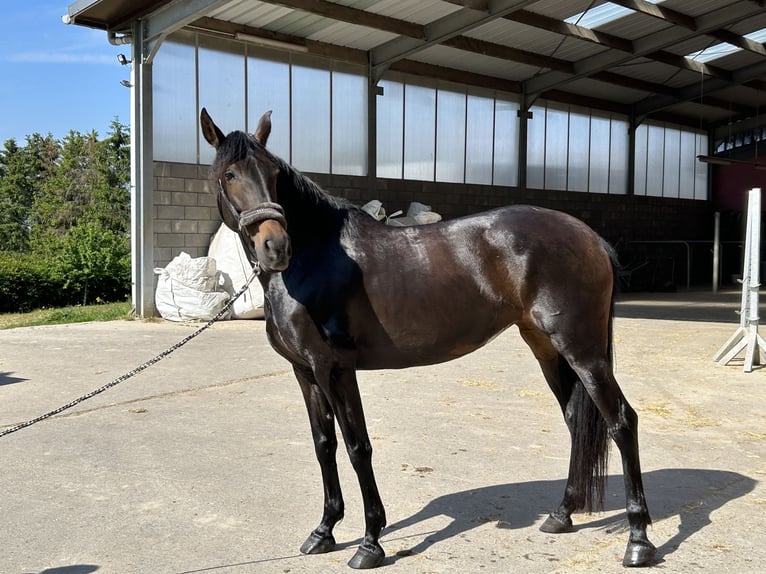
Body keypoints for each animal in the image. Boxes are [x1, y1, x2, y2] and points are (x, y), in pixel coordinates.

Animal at [201, 109, 656, 572]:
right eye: (229, 174)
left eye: (274, 173)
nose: (276, 246)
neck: (314, 259)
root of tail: (590, 237)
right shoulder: (304, 372)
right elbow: (324, 445)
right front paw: (323, 532)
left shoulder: (335, 369)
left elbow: (357, 447)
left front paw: (370, 542)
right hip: (547, 348)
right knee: (576, 420)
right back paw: (561, 515)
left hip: (583, 351)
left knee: (622, 421)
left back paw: (638, 540)